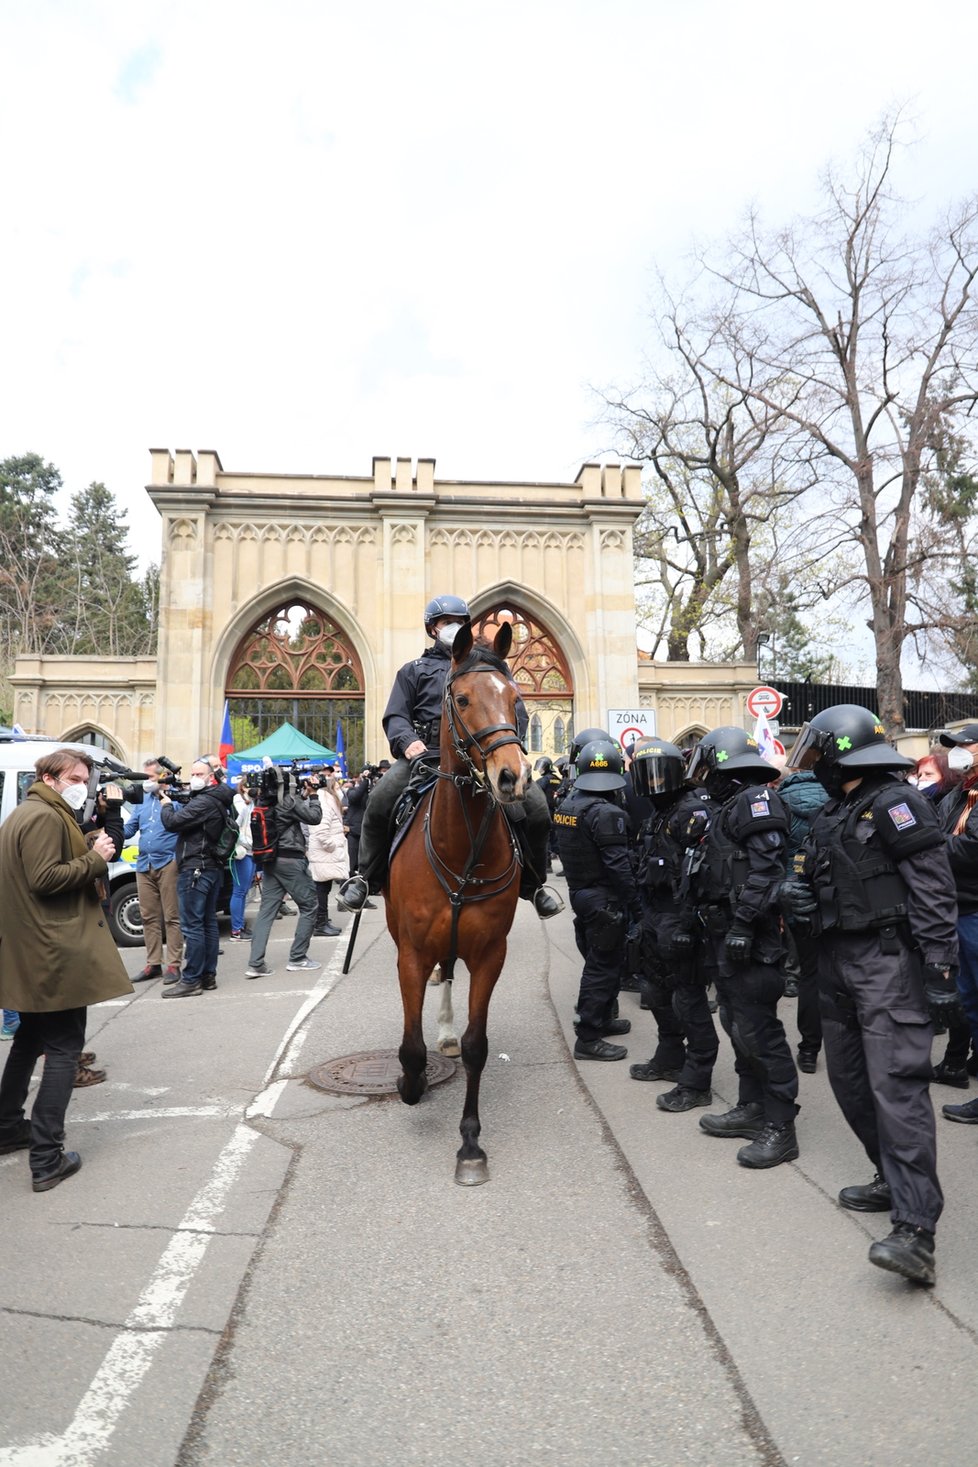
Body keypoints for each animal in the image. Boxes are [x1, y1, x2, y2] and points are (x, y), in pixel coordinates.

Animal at [387, 616, 530, 1179]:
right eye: (463, 699)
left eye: (515, 698)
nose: (512, 776)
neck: (461, 846)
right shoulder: (409, 953)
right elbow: (410, 1047)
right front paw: (411, 1085)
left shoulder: (491, 952)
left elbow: (475, 1047)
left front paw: (470, 1144)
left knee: (448, 974)